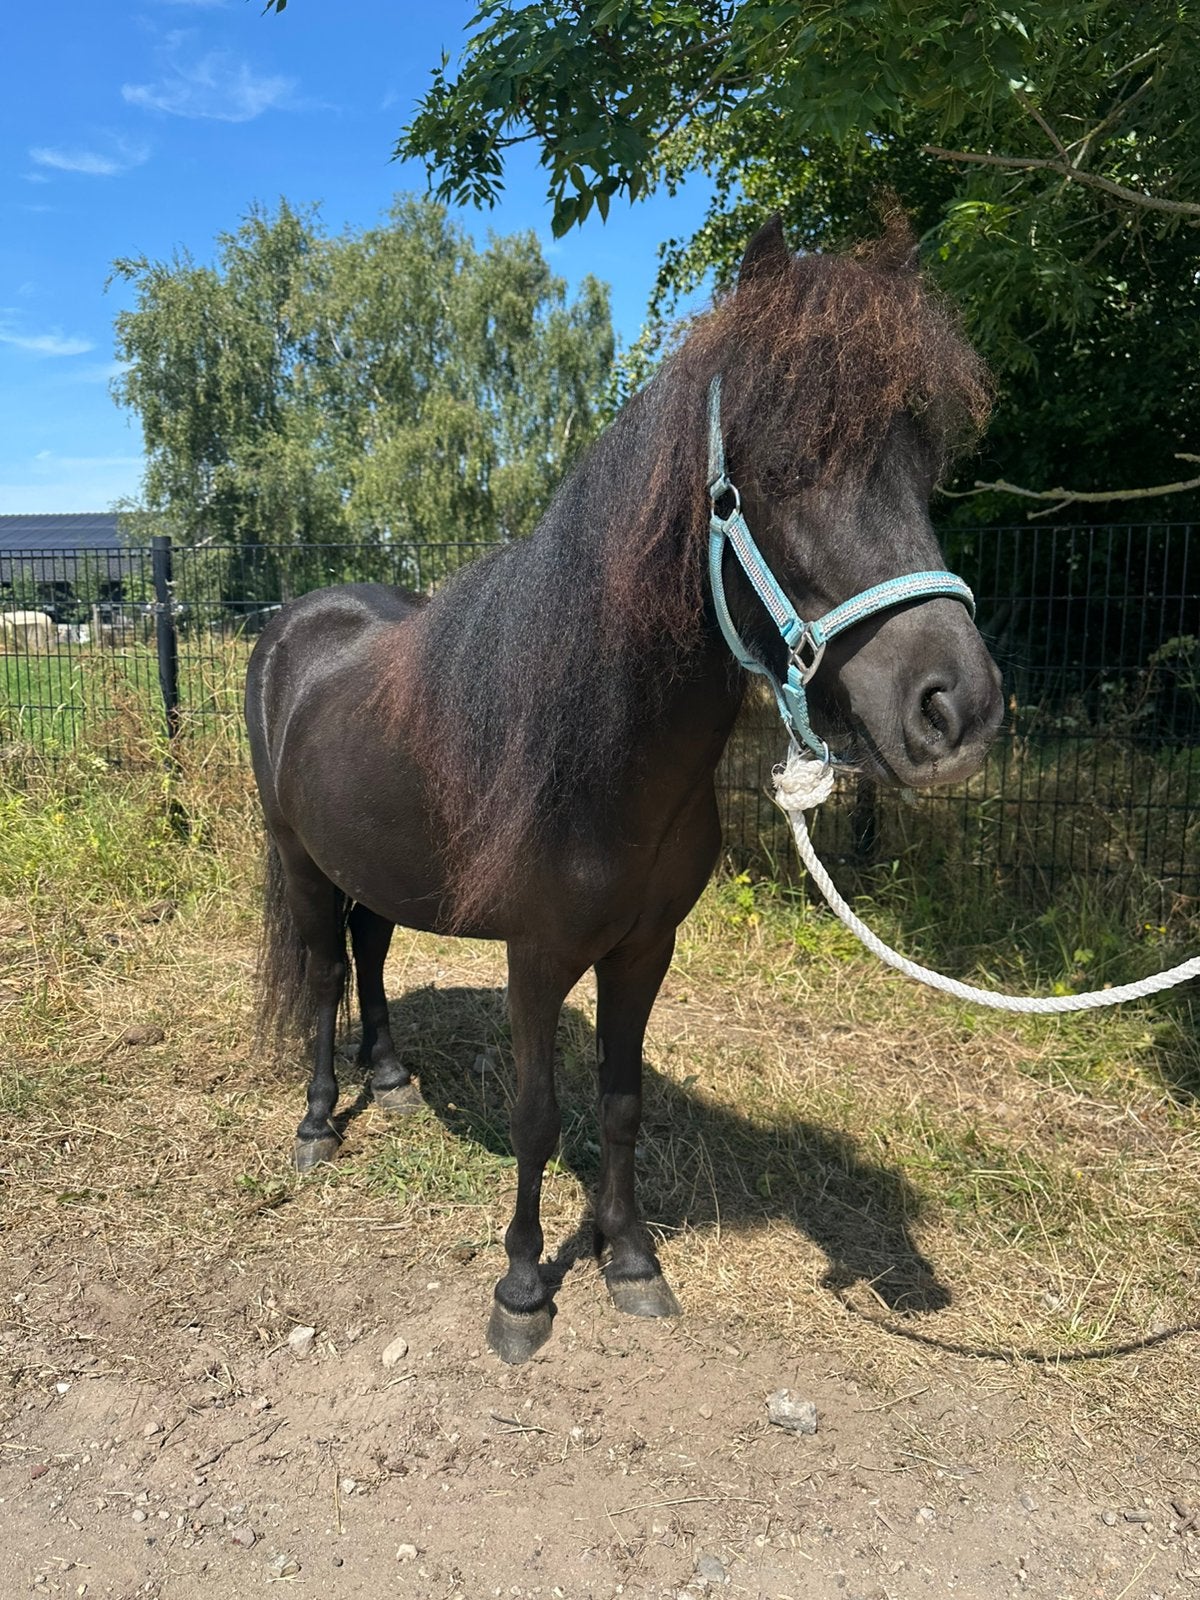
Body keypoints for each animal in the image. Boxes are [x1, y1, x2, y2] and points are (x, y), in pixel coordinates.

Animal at [245, 216, 1004, 1364]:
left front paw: (632, 1259)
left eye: (924, 471)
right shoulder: (535, 957)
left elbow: (622, 1101)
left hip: (372, 861)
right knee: (328, 971)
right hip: (299, 858)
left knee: (370, 953)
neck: (602, 764)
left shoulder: (645, 950)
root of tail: (295, 621)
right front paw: (524, 1290)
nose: (957, 708)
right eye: (782, 471)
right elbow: (537, 1116)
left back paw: (391, 1082)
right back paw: (317, 1123)